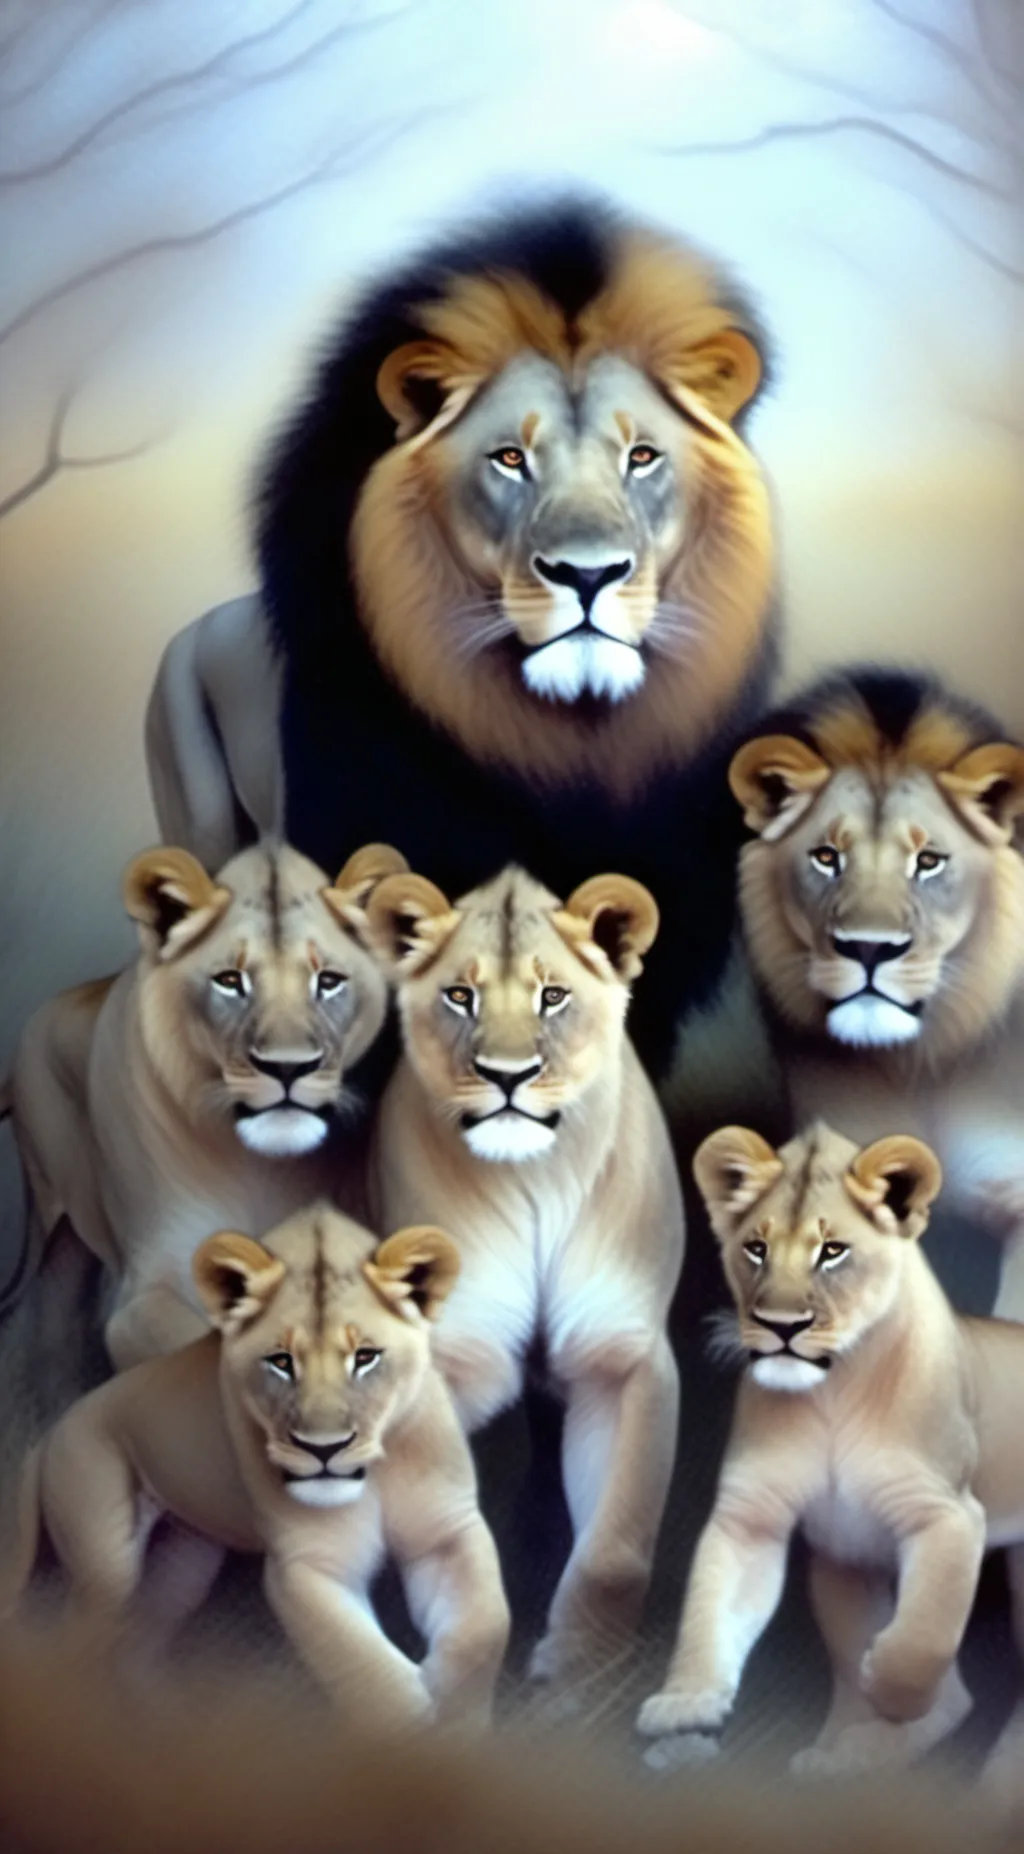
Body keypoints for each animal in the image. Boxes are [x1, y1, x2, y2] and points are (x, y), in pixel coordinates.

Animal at [2, 1204, 510, 1735]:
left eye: (366, 1357)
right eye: (280, 1362)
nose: (324, 1449)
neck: (376, 1471)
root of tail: (54, 1430)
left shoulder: (446, 1530)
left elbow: (484, 1631)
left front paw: (458, 1713)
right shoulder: (309, 1564)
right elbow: (372, 1678)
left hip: (185, 1561)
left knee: (135, 1642)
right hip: (105, 1557)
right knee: (79, 1643)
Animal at [364, 861, 684, 1684]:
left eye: (553, 996)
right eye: (459, 995)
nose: (507, 1076)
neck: (534, 1178)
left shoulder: (621, 1358)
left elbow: (615, 1546)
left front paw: (580, 1666)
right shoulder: (443, 1365)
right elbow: (447, 1527)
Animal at [636, 1121, 1024, 1794]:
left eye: (834, 1251)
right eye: (756, 1249)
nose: (780, 1325)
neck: (833, 1393)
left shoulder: (947, 1514)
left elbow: (923, 1635)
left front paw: (893, 1691)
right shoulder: (753, 1516)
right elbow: (709, 1607)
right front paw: (687, 1699)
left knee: (959, 1694)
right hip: (841, 1568)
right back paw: (845, 1753)